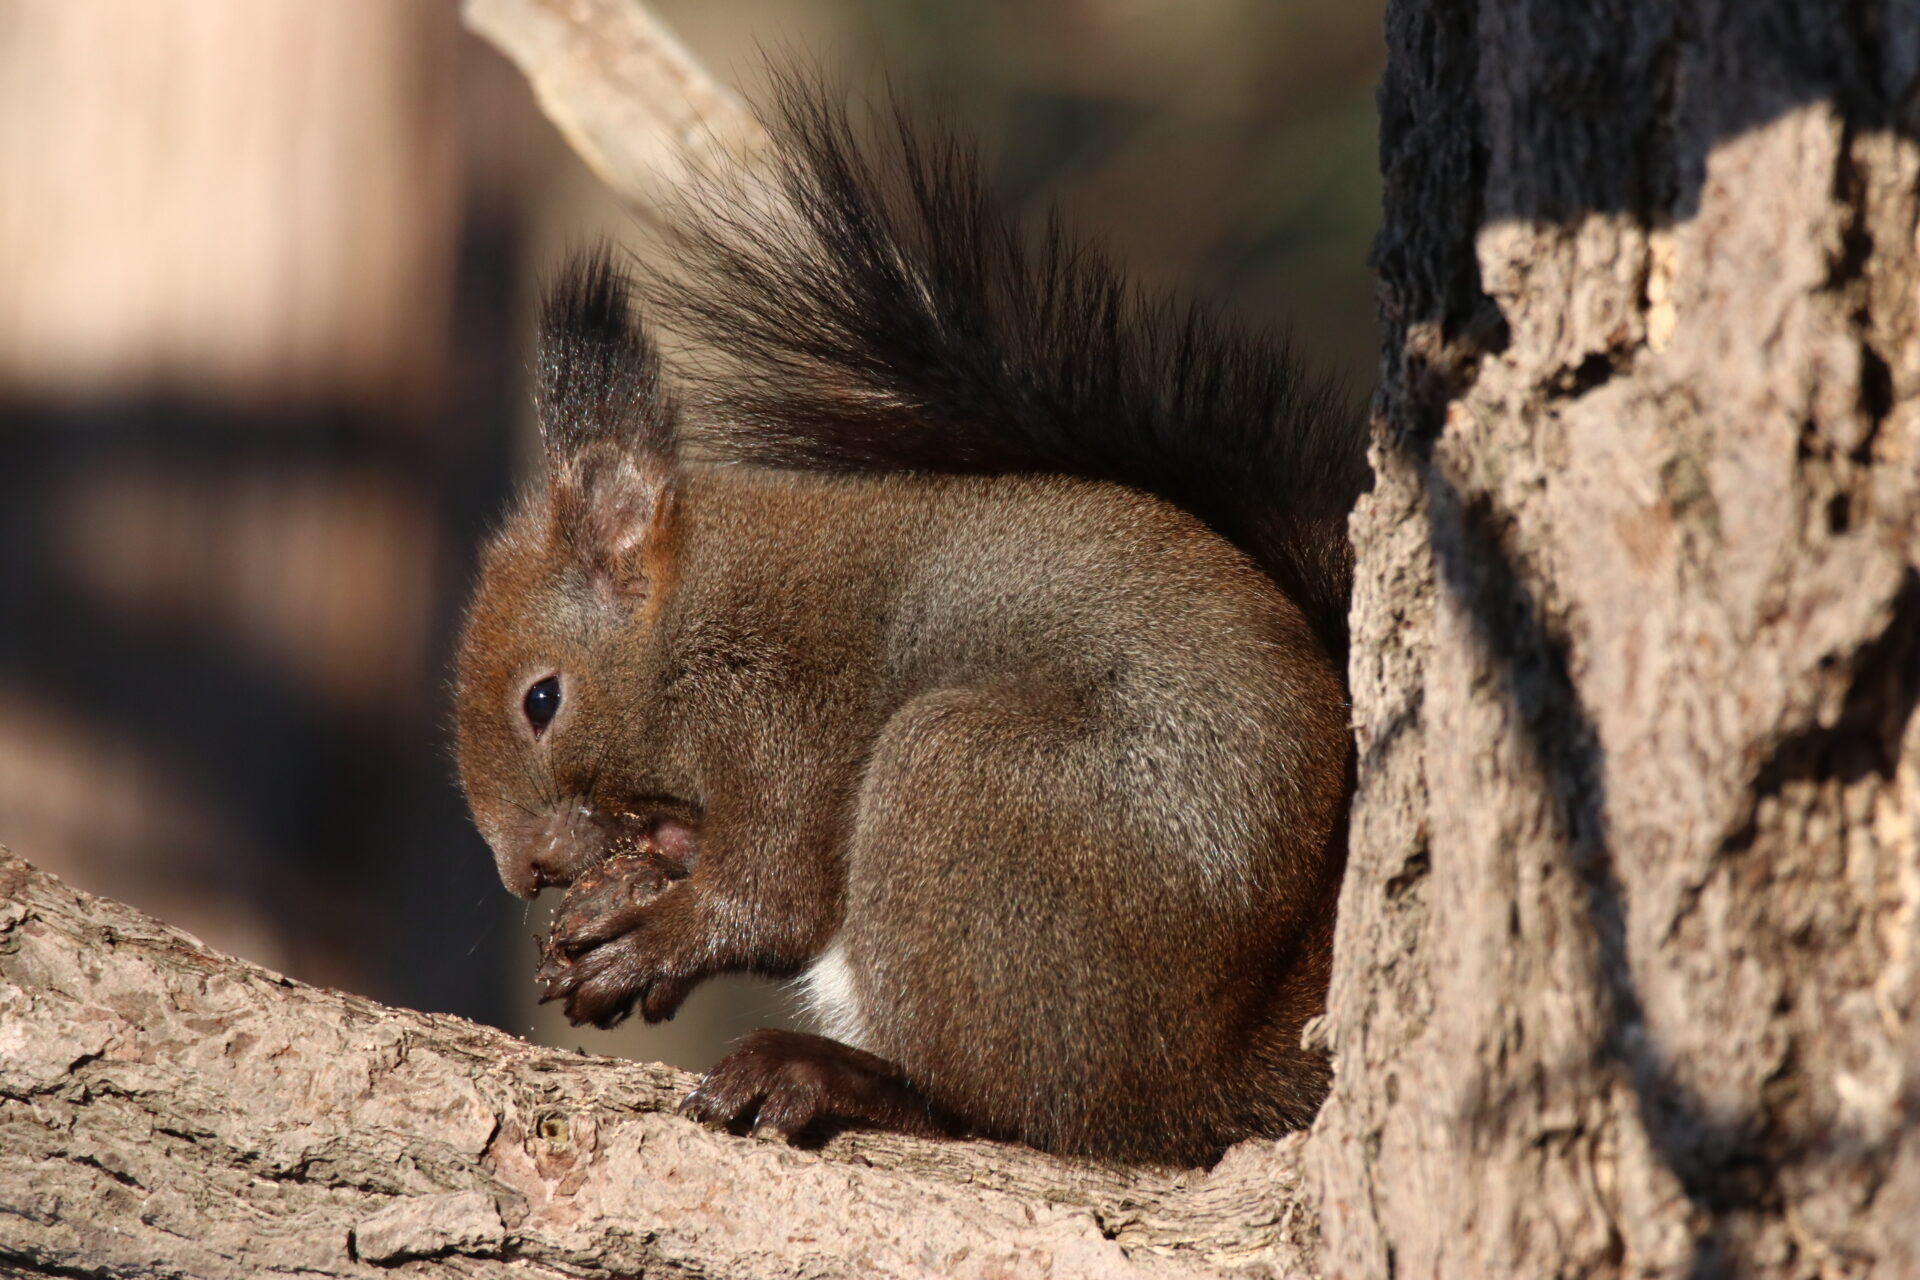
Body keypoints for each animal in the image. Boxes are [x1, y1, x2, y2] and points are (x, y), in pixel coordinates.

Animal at [455, 75, 1367, 1166]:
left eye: (541, 700)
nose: (524, 871)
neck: (689, 617)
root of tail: (1198, 1078)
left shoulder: (776, 706)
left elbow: (776, 897)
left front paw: (655, 935)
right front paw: (640, 873)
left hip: (963, 793)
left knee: (1006, 1108)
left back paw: (840, 1075)